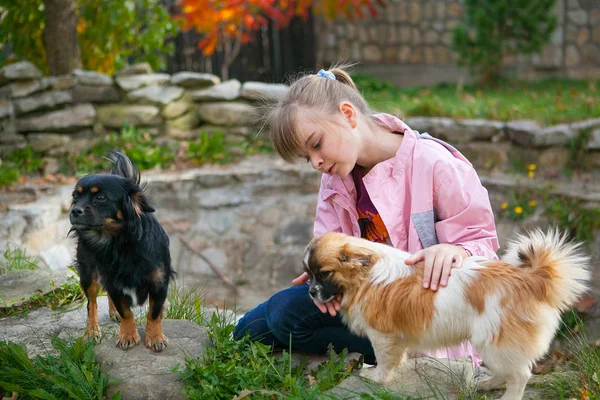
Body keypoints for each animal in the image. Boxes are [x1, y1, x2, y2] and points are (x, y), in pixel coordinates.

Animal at [70, 150, 175, 350]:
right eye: (75, 197)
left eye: (100, 197)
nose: (74, 210)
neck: (119, 242)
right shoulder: (113, 281)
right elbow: (126, 310)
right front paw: (128, 335)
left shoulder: (159, 281)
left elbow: (154, 312)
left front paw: (155, 337)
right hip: (89, 273)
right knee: (92, 303)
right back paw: (93, 331)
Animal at [302, 230, 592, 398]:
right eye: (309, 273)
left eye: (325, 273)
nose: (311, 293)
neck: (366, 275)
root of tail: (533, 281)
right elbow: (398, 358)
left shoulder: (382, 336)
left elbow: (385, 361)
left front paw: (377, 377)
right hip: (491, 344)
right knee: (505, 371)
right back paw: (486, 385)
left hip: (494, 340)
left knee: (520, 375)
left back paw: (508, 396)